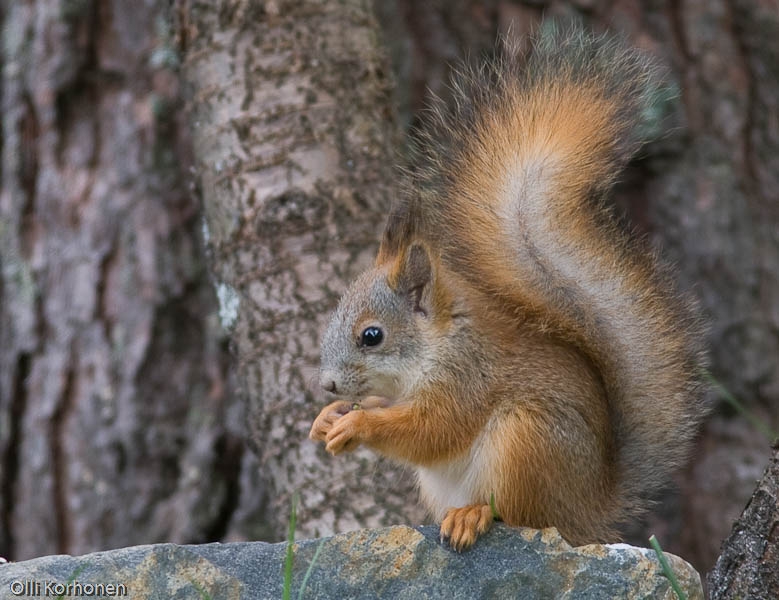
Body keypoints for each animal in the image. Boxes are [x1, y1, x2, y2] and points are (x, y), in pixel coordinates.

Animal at [310, 25, 708, 552]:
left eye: (371, 336)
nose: (328, 385)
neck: (437, 344)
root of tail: (590, 512)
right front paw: (328, 417)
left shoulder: (467, 376)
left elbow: (431, 430)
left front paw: (357, 422)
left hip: (527, 439)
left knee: (524, 517)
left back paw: (473, 515)